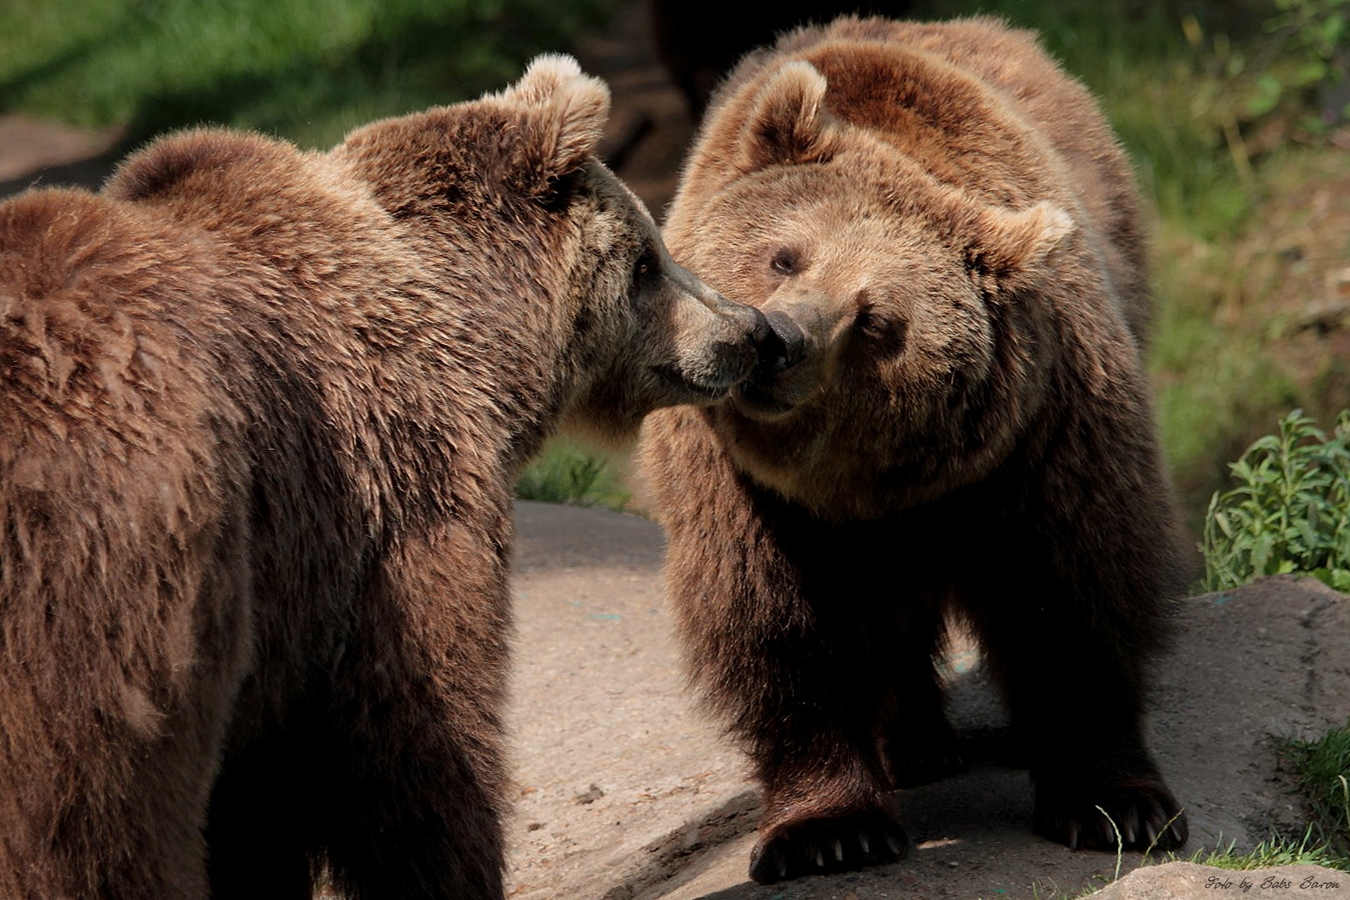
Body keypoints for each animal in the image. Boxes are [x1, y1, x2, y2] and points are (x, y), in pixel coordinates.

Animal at [0, 52, 777, 895]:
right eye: (647, 258)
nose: (749, 329)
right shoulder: (384, 501)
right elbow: (417, 736)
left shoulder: (280, 608)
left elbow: (254, 808)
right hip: (105, 575)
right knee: (90, 818)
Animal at [639, 15, 1193, 885]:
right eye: (785, 255)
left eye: (876, 318)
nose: (779, 342)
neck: (869, 479)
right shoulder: (744, 487)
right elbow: (779, 624)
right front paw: (829, 829)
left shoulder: (1040, 434)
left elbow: (1074, 590)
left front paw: (1119, 805)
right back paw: (916, 746)